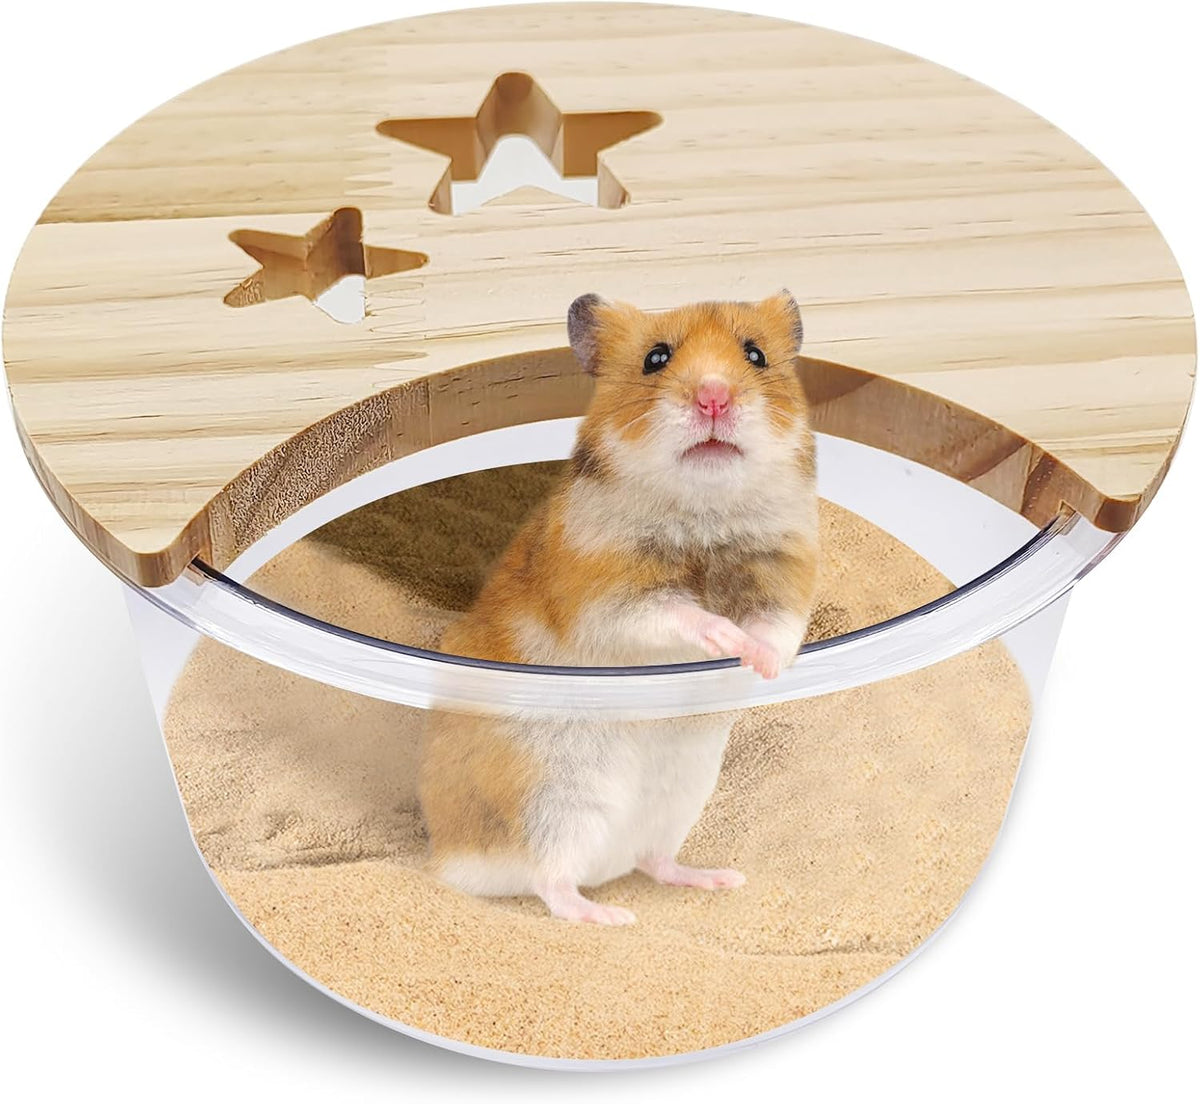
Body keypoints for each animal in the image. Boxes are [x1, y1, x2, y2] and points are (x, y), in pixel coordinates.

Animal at [419, 292, 818, 925]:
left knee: (652, 861)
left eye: (755, 354)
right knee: (551, 884)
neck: (706, 511)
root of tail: (446, 862)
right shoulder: (609, 595)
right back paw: (611, 916)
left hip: (678, 798)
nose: (714, 396)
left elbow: (776, 630)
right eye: (656, 358)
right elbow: (679, 614)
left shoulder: (787, 575)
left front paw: (762, 666)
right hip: (554, 802)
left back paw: (720, 879)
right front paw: (729, 641)